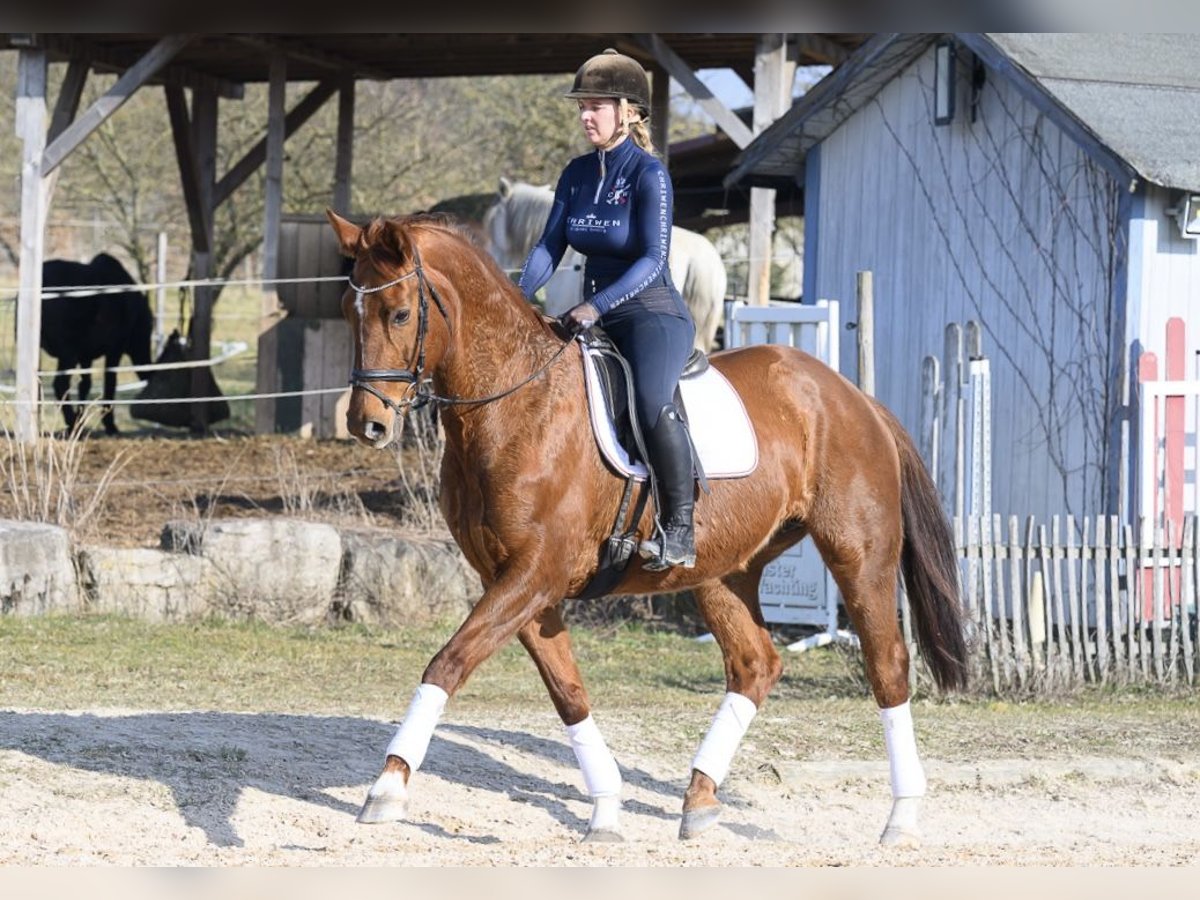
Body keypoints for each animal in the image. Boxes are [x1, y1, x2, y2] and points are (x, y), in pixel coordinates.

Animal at [331, 210, 974, 844]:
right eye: (347, 311)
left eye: (401, 313)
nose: (367, 425)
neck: (516, 402)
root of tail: (852, 396)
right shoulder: (518, 583)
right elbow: (568, 692)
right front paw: (606, 808)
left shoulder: (535, 574)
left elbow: (448, 662)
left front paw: (386, 786)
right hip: (723, 571)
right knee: (755, 665)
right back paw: (700, 797)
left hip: (859, 556)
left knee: (887, 665)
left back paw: (901, 816)